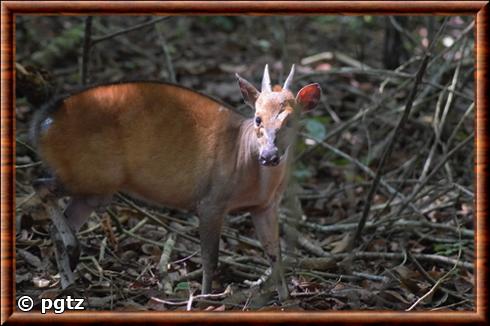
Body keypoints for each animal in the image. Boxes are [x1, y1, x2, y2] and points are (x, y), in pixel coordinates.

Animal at [30, 64, 322, 300]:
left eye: (291, 120)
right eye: (258, 118)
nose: (269, 156)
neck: (245, 159)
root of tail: (42, 124)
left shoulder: (264, 207)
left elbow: (275, 254)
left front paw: (286, 299)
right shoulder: (211, 201)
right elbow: (210, 258)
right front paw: (205, 297)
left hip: (94, 187)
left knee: (56, 224)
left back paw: (68, 282)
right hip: (89, 174)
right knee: (40, 185)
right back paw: (72, 252)